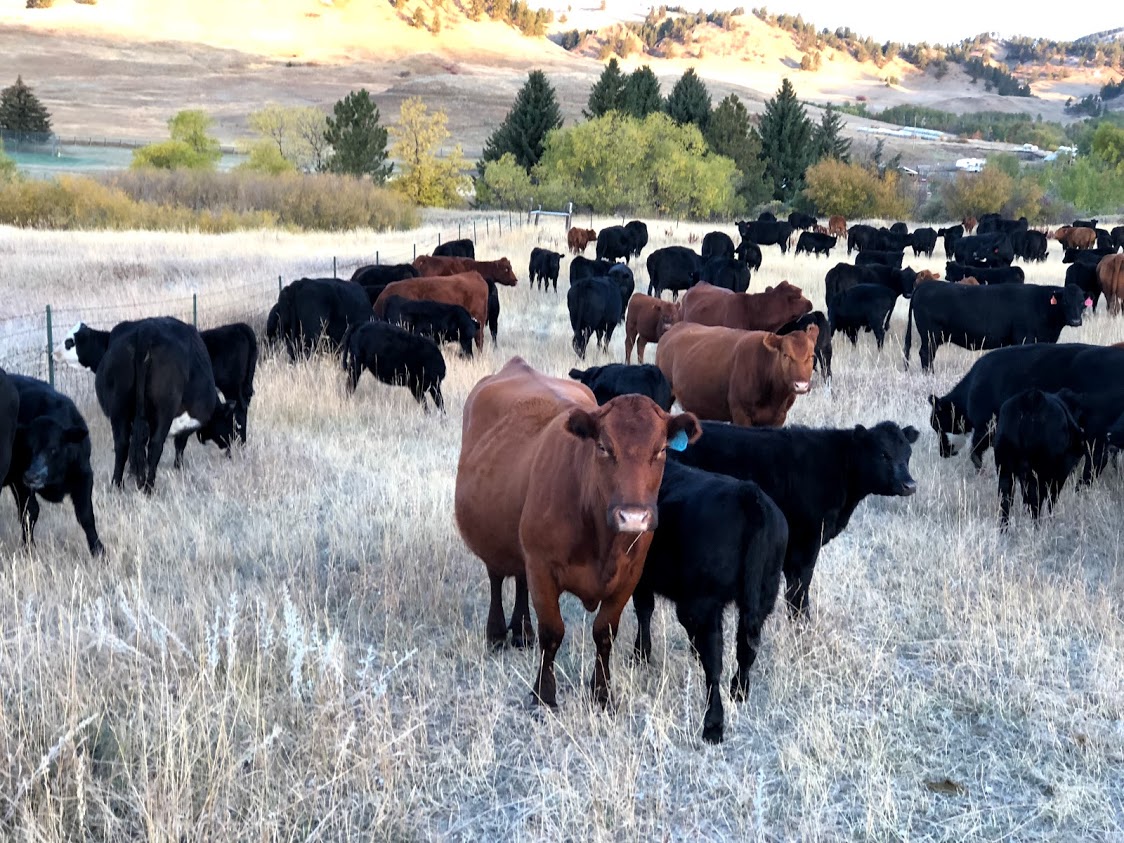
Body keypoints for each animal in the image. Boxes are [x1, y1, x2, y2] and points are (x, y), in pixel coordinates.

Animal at [3, 374, 103, 557]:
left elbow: (86, 515)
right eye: (27, 447)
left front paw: (98, 550)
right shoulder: (20, 480)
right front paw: (29, 548)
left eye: (53, 449)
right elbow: (30, 512)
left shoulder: (85, 475)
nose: (32, 475)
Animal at [454, 357, 700, 710]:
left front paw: (602, 693)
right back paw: (498, 633)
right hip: (495, 536)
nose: (634, 516)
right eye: (603, 447)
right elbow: (553, 631)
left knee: (519, 579)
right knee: (498, 577)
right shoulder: (543, 567)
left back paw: (522, 631)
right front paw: (543, 695)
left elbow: (604, 632)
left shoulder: (629, 575)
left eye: (661, 450)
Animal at [633, 460, 787, 742]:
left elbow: (644, 610)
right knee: (745, 648)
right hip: (763, 593)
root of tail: (748, 494)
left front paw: (640, 654)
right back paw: (739, 690)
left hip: (704, 602)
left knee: (714, 662)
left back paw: (713, 725)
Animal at [905, 283, 1086, 372]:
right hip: (930, 335)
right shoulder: (1024, 338)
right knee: (926, 354)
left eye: (1082, 302)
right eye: (1065, 301)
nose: (1076, 321)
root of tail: (924, 286)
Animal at [993, 389, 1085, 527]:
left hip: (1005, 469)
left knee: (1006, 500)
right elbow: (1051, 498)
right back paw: (1037, 526)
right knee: (1036, 500)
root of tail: (1031, 398)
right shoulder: (1060, 473)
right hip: (1039, 472)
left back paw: (1004, 528)